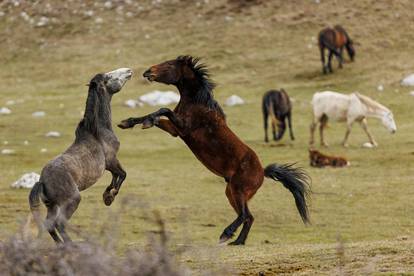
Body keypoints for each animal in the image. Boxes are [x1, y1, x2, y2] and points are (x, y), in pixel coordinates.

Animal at [28, 68, 133, 243]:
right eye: (109, 76)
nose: (129, 71)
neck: (98, 132)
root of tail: (42, 181)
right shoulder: (111, 160)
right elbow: (123, 174)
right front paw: (109, 197)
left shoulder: (108, 165)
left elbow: (116, 176)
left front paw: (107, 195)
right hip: (72, 201)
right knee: (59, 224)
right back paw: (71, 245)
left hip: (52, 206)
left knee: (49, 224)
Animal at [118, 56, 308, 246]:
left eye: (170, 64)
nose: (147, 72)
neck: (197, 103)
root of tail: (262, 171)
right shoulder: (174, 130)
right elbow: (157, 115)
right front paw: (128, 122)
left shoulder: (183, 128)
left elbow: (164, 109)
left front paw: (146, 121)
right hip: (231, 192)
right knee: (249, 217)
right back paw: (238, 241)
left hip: (238, 190)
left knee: (244, 215)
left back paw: (226, 234)